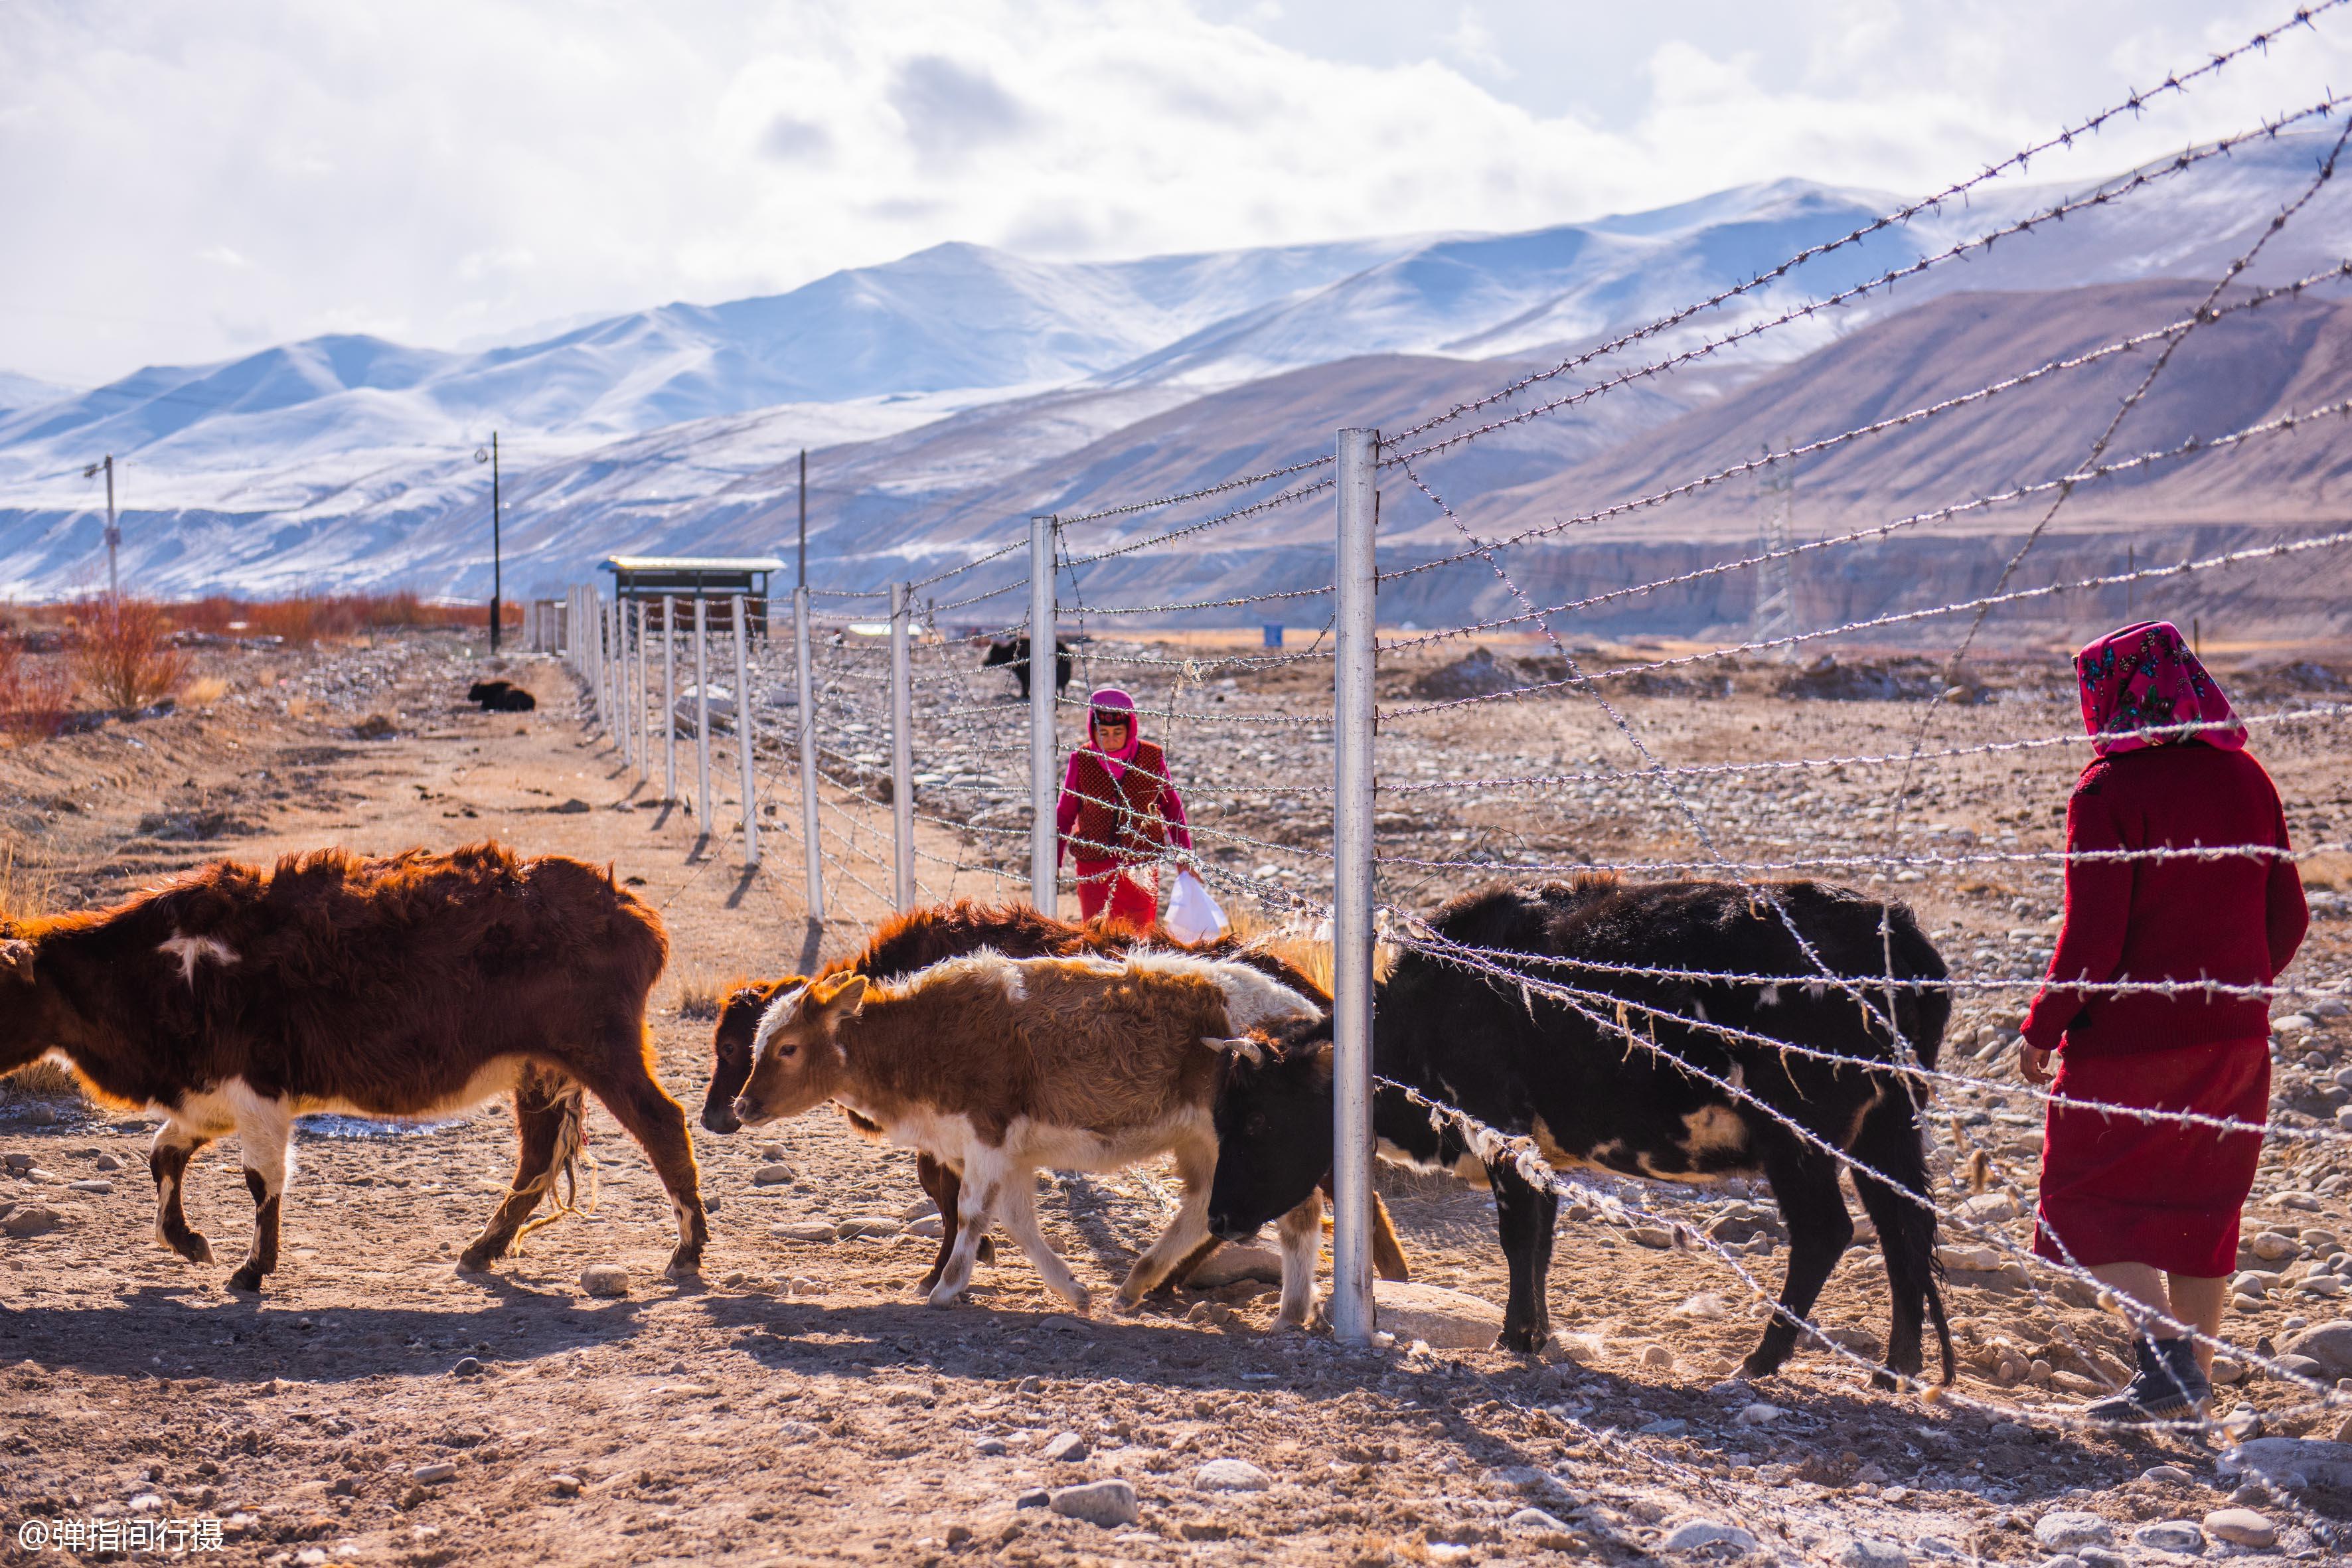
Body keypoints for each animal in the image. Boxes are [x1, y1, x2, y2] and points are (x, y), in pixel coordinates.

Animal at [0, 846, 700, 1288]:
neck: (165, 965)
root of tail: (632, 910)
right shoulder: (207, 1097)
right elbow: (162, 1155)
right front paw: (188, 1241)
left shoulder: (257, 1091)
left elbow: (262, 1179)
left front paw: (252, 1270)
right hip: (539, 1069)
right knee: (536, 1159)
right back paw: (483, 1249)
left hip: (602, 1050)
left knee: (662, 1124)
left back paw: (687, 1251)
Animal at [978, 639, 1072, 700]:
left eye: (992, 652)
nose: (982, 661)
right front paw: (1025, 695)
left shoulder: (1022, 674)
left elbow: (1024, 684)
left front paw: (1024, 695)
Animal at [1204, 884, 1956, 1382]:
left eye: (1258, 1118)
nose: (1217, 1216)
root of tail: (1894, 930)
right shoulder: (1538, 1153)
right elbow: (1540, 1240)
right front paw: (1537, 1333)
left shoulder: (1501, 1135)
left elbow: (1518, 1236)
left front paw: (1514, 1337)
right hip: (1886, 1132)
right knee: (1904, 1226)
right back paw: (1898, 1366)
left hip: (1797, 1140)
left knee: (1827, 1232)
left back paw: (1761, 1360)